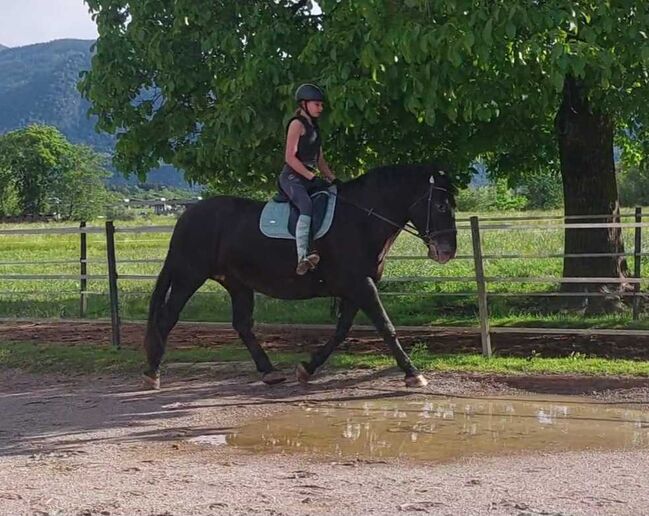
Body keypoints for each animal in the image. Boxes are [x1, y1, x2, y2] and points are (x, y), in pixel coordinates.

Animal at [143, 163, 456, 390]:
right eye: (441, 205)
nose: (447, 251)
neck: (361, 220)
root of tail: (187, 215)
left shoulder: (356, 288)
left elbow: (342, 330)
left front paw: (307, 369)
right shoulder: (361, 286)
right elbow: (386, 327)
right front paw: (413, 373)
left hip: (237, 283)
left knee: (242, 325)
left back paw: (269, 372)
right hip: (189, 276)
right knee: (167, 318)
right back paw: (152, 372)